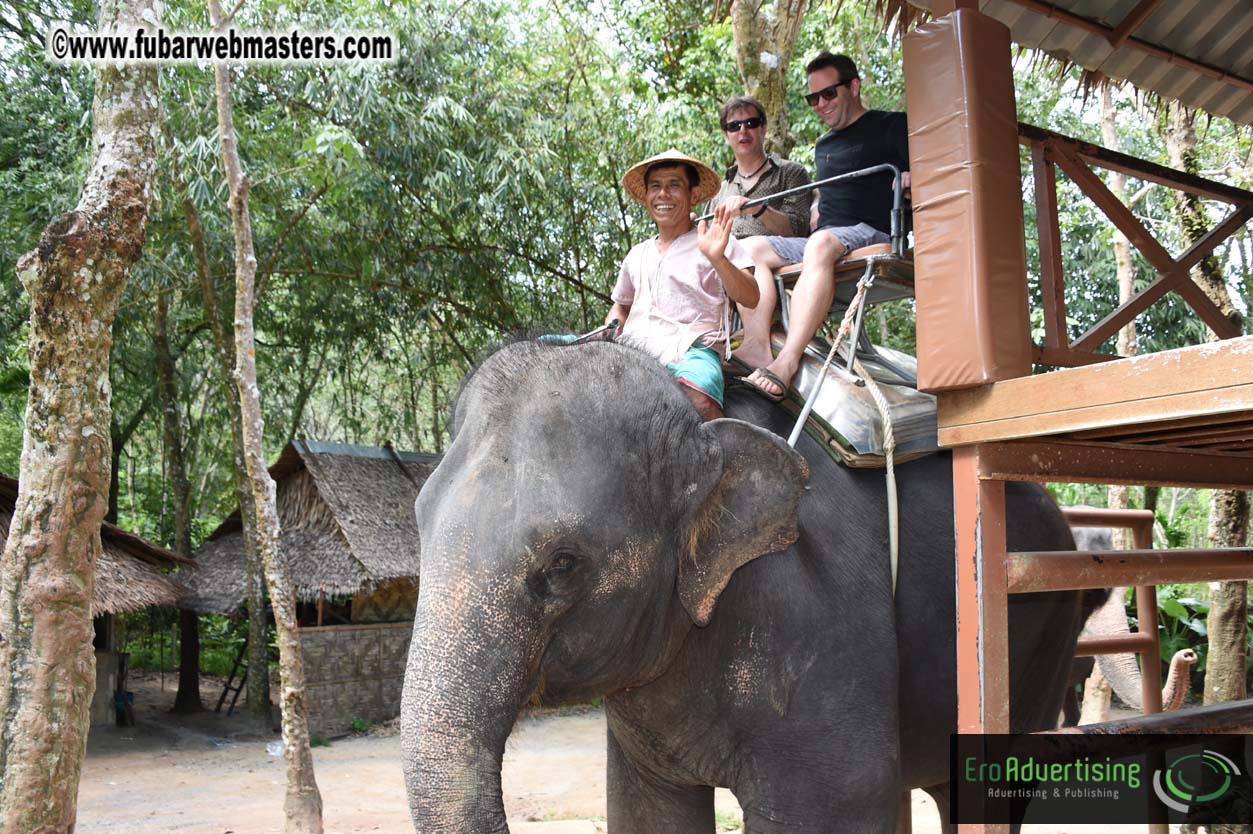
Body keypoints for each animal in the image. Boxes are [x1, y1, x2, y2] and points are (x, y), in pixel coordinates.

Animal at [400, 340, 1103, 834]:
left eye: (563, 563)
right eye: (418, 525)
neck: (703, 431)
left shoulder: (817, 623)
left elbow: (836, 806)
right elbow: (648, 813)